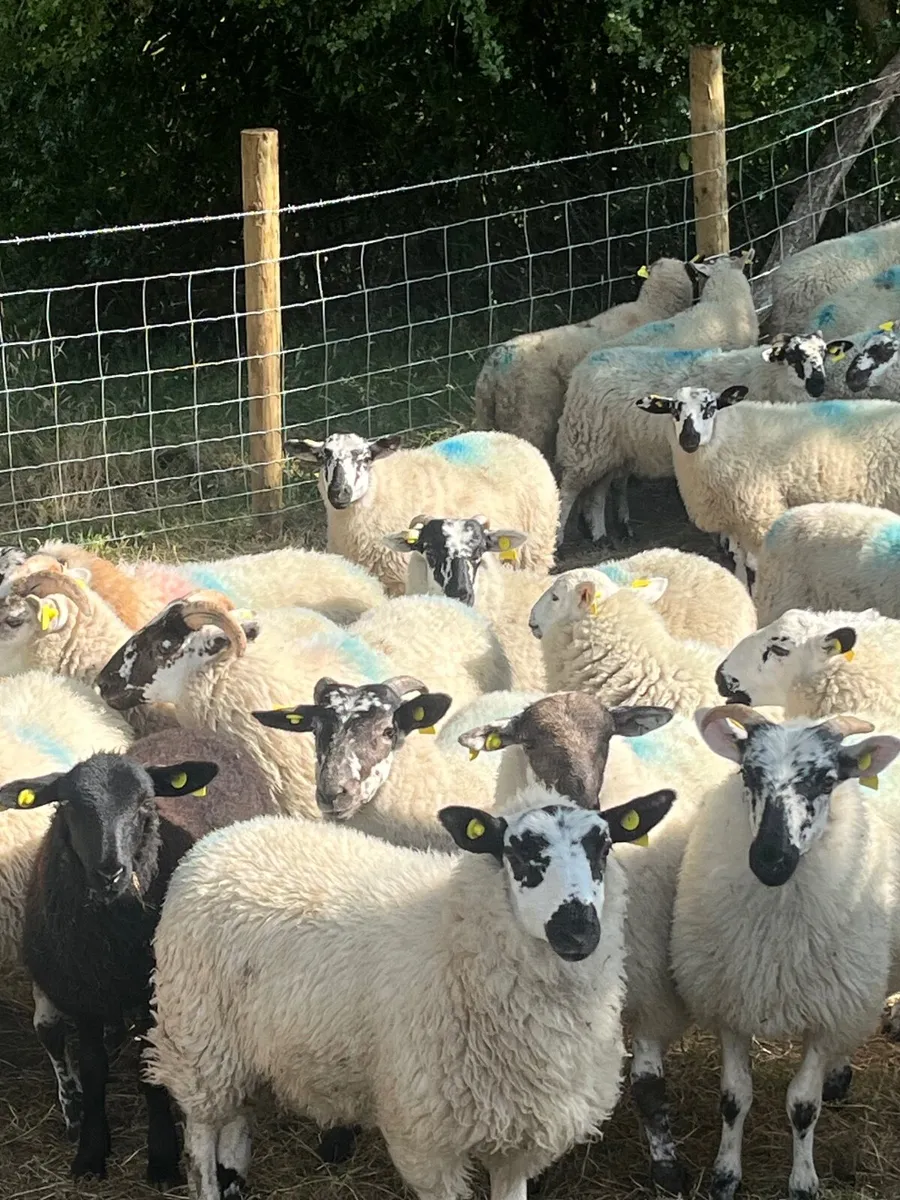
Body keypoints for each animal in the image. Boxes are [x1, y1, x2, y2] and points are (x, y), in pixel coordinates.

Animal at [0, 732, 275, 1184]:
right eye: (68, 804)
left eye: (146, 803)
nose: (110, 872)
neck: (108, 941)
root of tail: (196, 734)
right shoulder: (84, 994)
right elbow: (93, 1070)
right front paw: (91, 1151)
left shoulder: (153, 997)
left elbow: (149, 1072)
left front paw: (162, 1157)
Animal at [145, 783, 675, 1200]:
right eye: (518, 852)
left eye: (603, 849)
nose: (578, 930)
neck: (454, 941)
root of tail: (229, 835)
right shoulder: (427, 1139)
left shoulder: (520, 1137)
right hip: (197, 1036)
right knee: (200, 1137)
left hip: (243, 1046)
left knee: (237, 1119)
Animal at [556, 332, 852, 546]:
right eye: (792, 355)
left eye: (824, 353)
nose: (818, 384)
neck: (767, 377)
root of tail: (584, 367)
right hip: (585, 441)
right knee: (569, 490)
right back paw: (559, 539)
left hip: (610, 448)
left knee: (598, 490)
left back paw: (601, 535)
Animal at [635, 388, 900, 581]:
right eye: (674, 411)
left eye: (710, 408)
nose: (689, 439)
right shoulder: (734, 519)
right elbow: (738, 561)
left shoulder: (760, 513)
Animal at [671, 704, 900, 1200]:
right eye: (747, 773)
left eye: (827, 781)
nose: (770, 860)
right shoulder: (732, 1004)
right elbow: (734, 1097)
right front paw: (725, 1174)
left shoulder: (824, 1014)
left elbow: (802, 1105)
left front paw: (803, 1181)